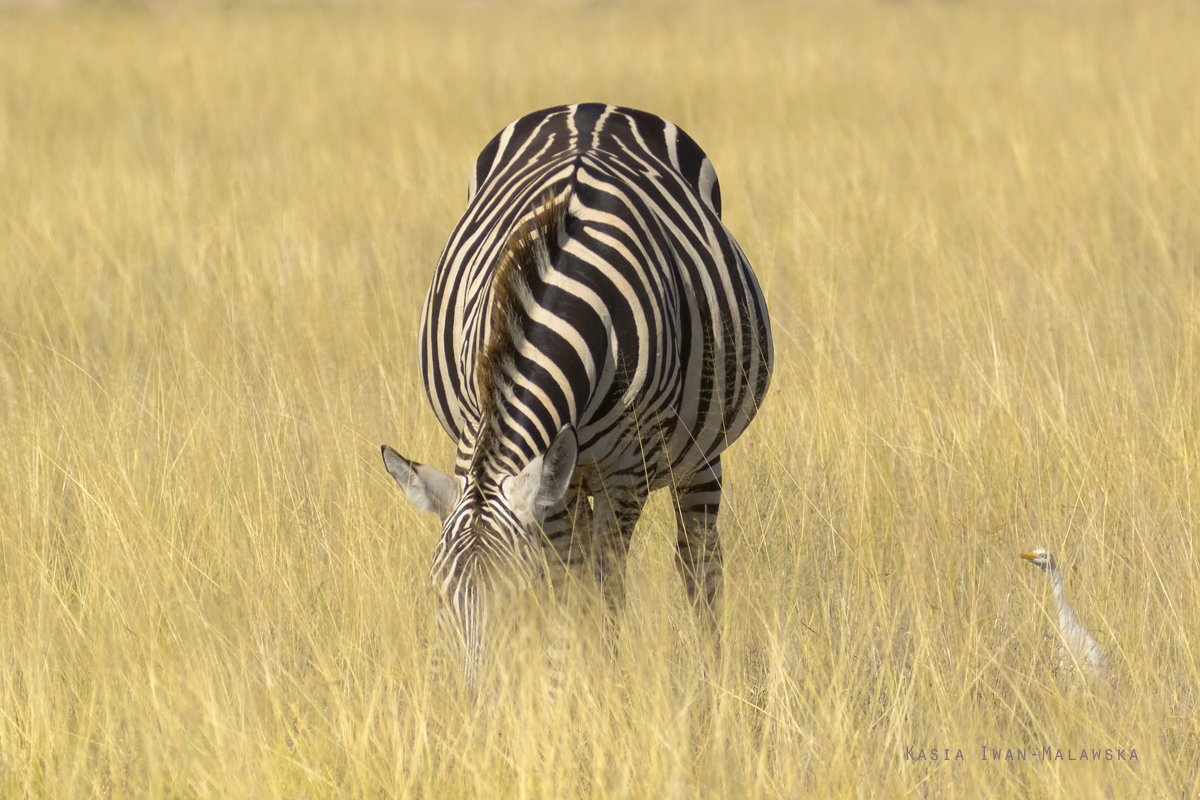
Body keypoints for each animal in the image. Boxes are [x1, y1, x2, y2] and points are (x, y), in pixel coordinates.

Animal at [384, 101, 777, 690]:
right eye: (437, 598)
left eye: (515, 601)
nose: (472, 702)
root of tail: (591, 107)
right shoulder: (499, 449)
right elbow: (565, 582)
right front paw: (566, 683)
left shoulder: (627, 471)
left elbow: (604, 583)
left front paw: (585, 685)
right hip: (576, 475)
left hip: (700, 451)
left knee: (696, 562)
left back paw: (707, 680)